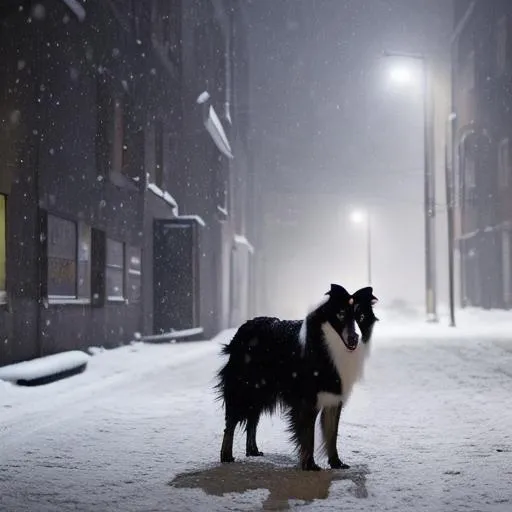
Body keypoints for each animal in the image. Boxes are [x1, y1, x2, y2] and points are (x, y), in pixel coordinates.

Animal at [214, 284, 378, 472]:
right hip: (244, 387)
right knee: (231, 422)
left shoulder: (334, 397)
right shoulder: (306, 399)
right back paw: (226, 455)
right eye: (341, 314)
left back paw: (252, 451)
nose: (354, 338)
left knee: (253, 420)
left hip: (261, 391)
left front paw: (336, 463)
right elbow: (308, 435)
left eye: (361, 317)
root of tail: (242, 329)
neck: (331, 346)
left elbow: (332, 434)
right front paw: (310, 465)